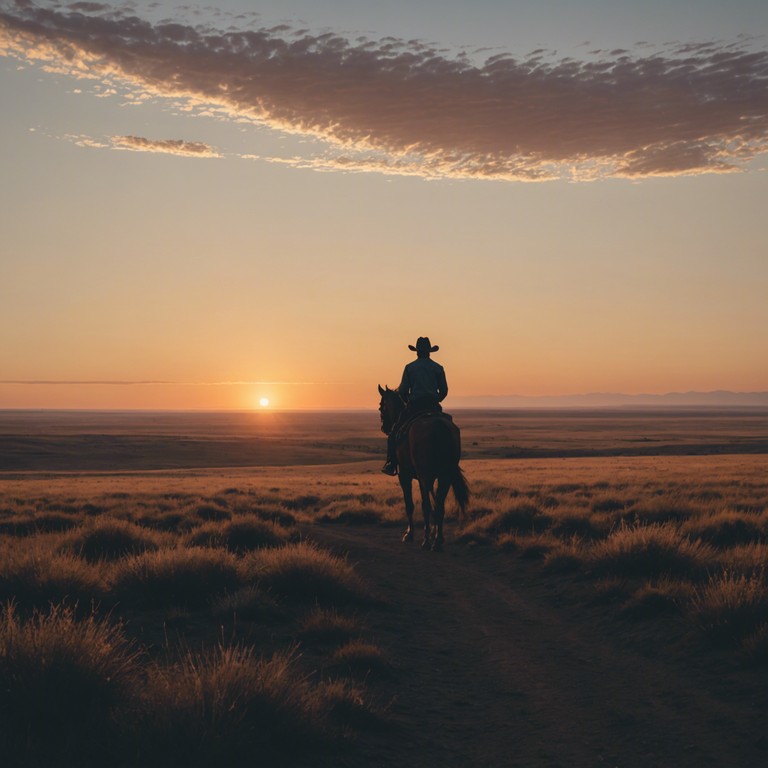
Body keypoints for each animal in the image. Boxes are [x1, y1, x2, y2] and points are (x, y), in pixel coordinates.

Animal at [376, 388, 468, 548]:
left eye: (382, 406)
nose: (384, 427)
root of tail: (440, 427)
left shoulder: (404, 476)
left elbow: (410, 505)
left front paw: (409, 534)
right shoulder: (421, 478)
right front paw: (433, 532)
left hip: (426, 475)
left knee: (427, 506)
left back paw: (426, 541)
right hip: (444, 476)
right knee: (439, 505)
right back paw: (437, 541)